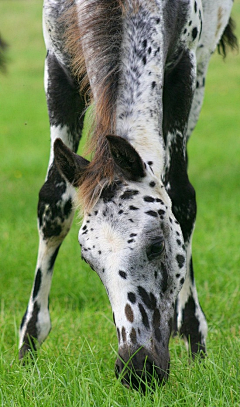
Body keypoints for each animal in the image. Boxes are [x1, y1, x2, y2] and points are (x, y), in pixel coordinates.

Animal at [18, 0, 236, 394]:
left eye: (156, 245)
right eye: (89, 260)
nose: (137, 369)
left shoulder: (183, 69)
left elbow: (182, 199)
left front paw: (195, 338)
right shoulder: (57, 70)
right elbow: (53, 203)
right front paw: (28, 345)